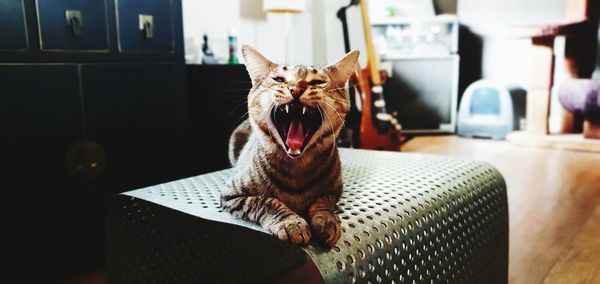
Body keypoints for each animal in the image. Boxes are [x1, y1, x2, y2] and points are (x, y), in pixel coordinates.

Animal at [221, 45, 358, 246]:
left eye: (317, 82)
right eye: (279, 79)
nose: (296, 88)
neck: (296, 166)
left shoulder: (334, 191)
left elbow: (324, 202)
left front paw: (327, 220)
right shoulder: (232, 194)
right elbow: (265, 202)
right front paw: (291, 222)